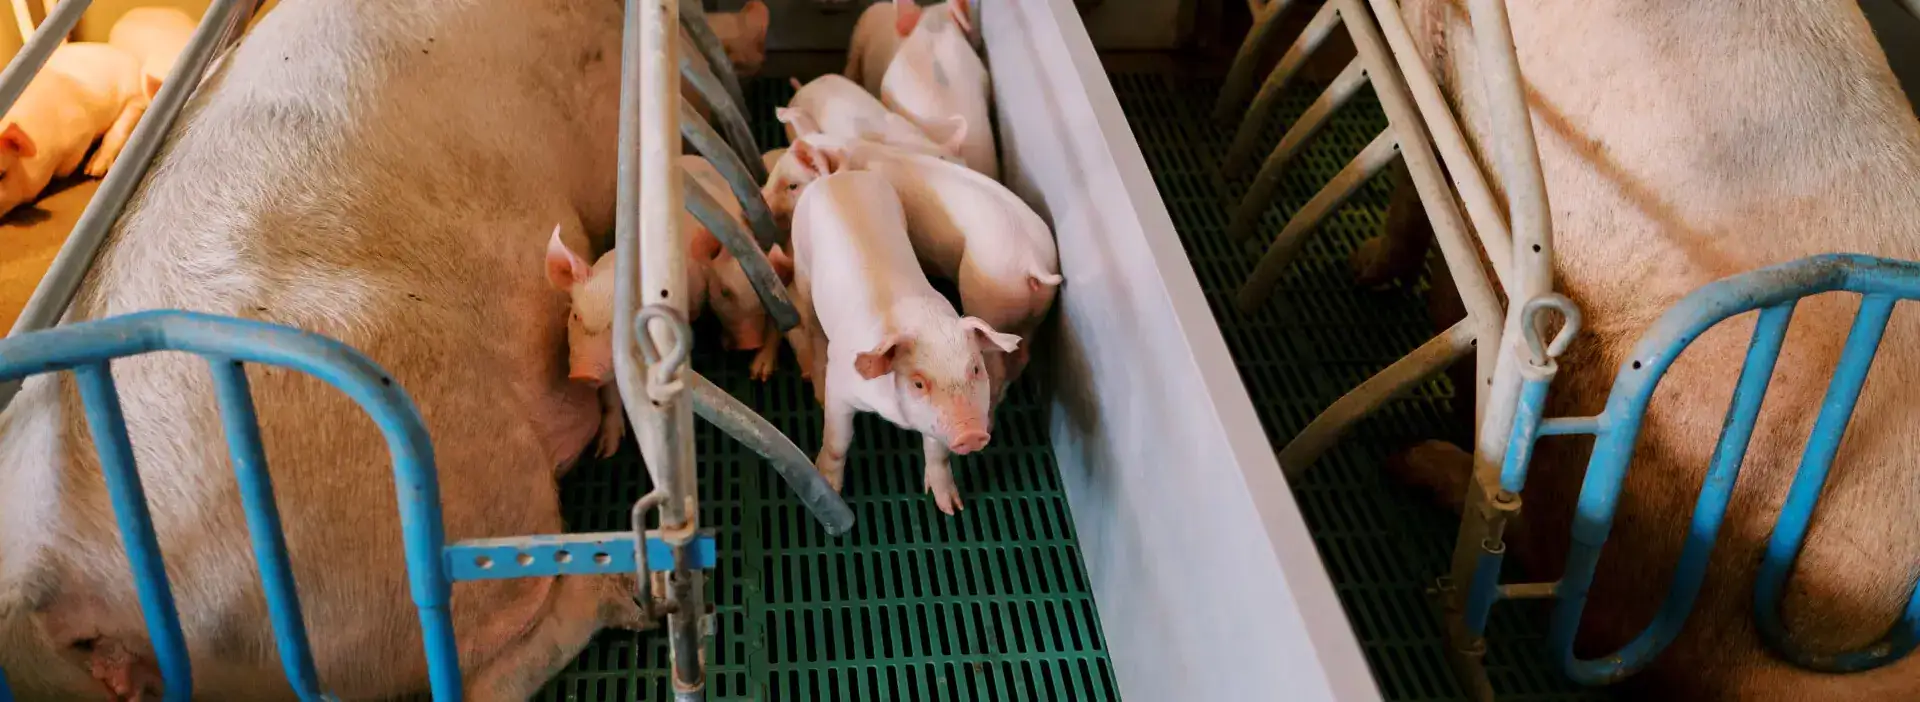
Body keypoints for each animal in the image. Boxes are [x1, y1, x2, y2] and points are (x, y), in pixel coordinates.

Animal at [769, 135, 1061, 407]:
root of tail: (1032, 261)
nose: (767, 205)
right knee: (1021, 354)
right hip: (1033, 313)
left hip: (988, 297)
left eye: (792, 185)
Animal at [789, 168, 1021, 515]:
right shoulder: (841, 386)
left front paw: (951, 509)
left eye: (976, 369)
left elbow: (938, 454)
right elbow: (837, 440)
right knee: (811, 326)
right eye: (918, 383)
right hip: (801, 265)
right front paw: (830, 486)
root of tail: (838, 176)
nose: (971, 433)